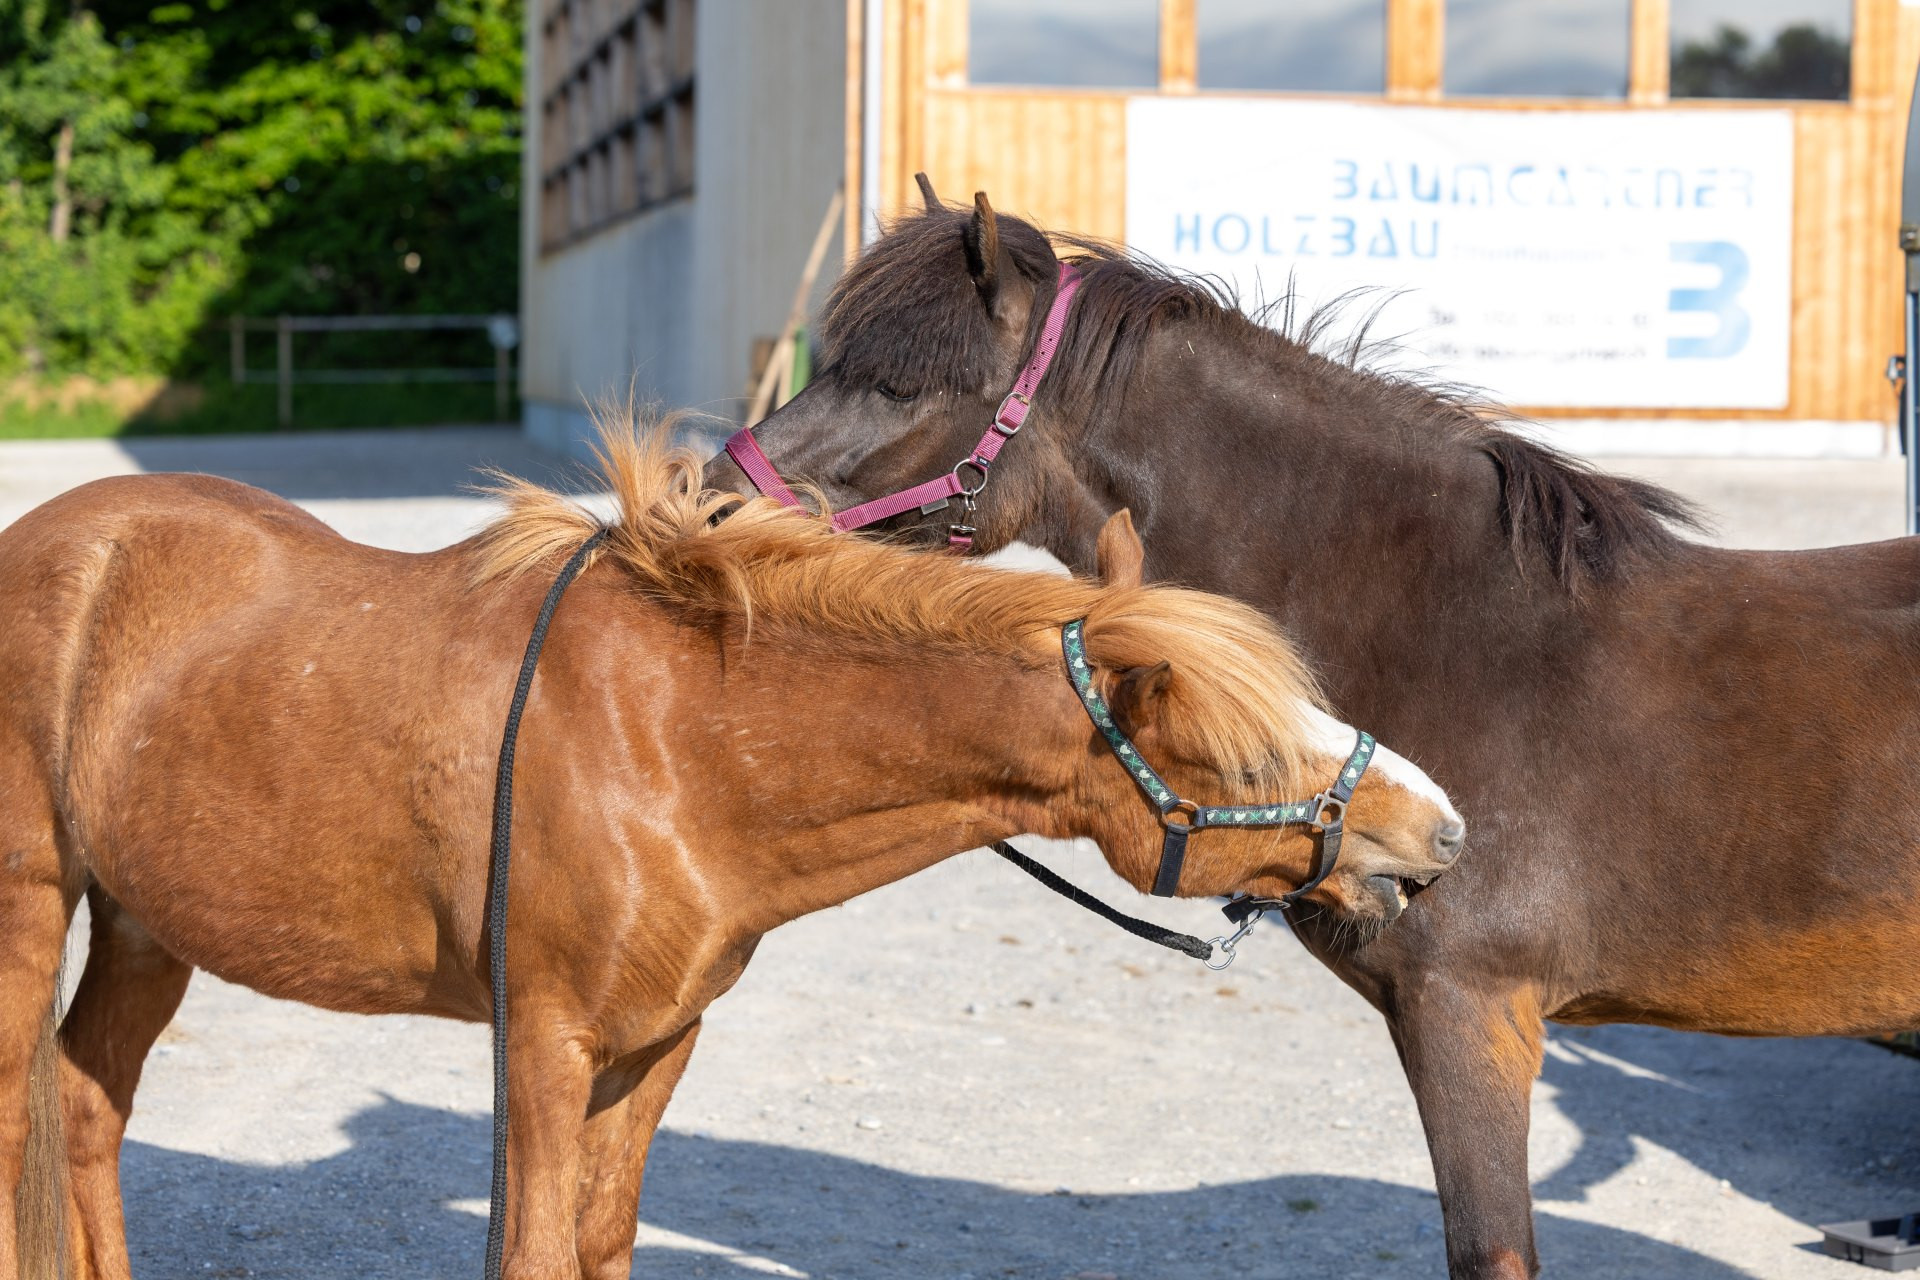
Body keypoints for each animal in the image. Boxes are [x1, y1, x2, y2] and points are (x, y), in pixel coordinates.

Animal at [0, 424, 1463, 1280]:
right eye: (1254, 756)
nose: (1441, 829)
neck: (675, 742)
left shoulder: (656, 1042)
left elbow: (598, 1240)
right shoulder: (540, 1041)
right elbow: (533, 1249)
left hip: (148, 923)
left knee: (85, 1103)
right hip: (36, 906)